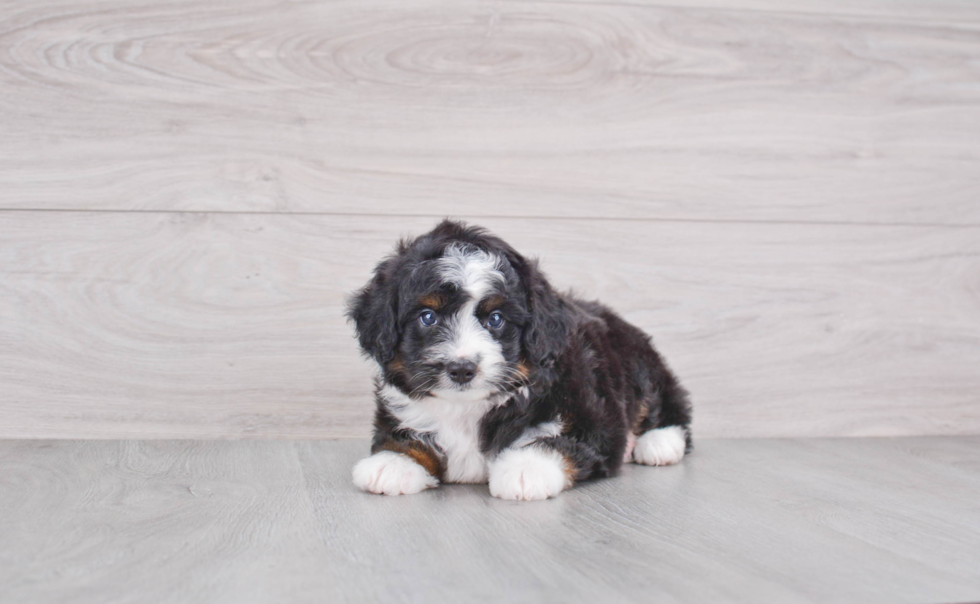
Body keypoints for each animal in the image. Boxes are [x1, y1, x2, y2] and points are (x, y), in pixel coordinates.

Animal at [348, 221, 692, 500]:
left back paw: (659, 442)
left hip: (637, 363)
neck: (467, 408)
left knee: (665, 401)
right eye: (428, 317)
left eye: (496, 319)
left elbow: (556, 441)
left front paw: (526, 469)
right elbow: (402, 437)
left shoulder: (594, 418)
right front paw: (393, 462)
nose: (461, 369)